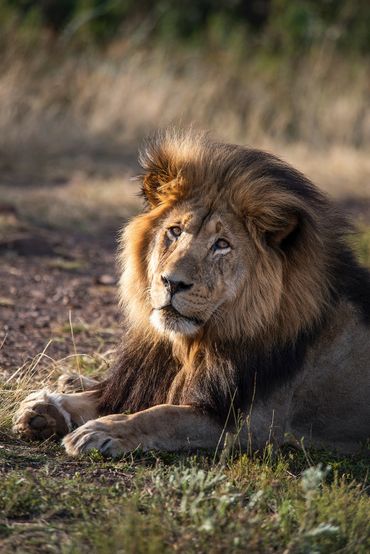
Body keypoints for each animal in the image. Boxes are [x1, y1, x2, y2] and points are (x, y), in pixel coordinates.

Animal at [11, 130, 370, 458]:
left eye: (222, 245)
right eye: (175, 231)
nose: (172, 282)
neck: (195, 345)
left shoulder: (252, 424)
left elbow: (163, 415)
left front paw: (104, 430)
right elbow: (116, 397)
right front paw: (45, 411)